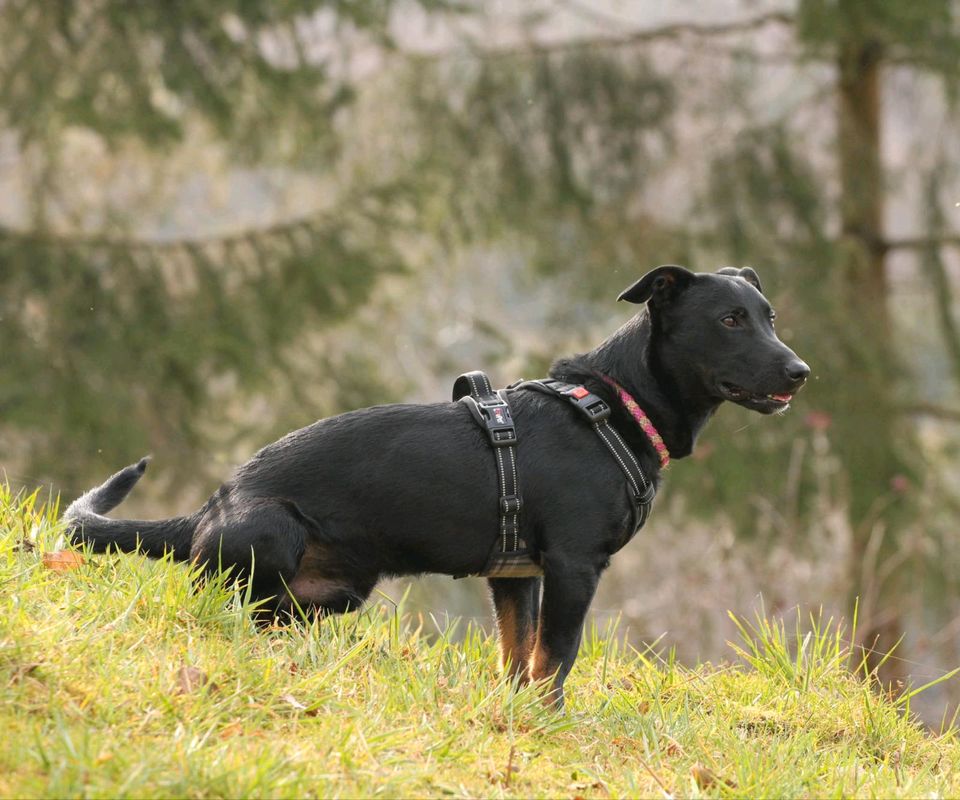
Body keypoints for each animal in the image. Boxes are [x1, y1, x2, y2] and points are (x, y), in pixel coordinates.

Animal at [65, 266, 808, 704]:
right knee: (227, 605)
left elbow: (518, 654)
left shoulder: (517, 575)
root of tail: (205, 511)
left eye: (770, 314)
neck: (613, 404)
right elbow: (555, 659)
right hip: (272, 530)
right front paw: (545, 723)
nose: (801, 372)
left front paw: (511, 713)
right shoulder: (574, 566)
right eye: (730, 320)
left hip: (333, 593)